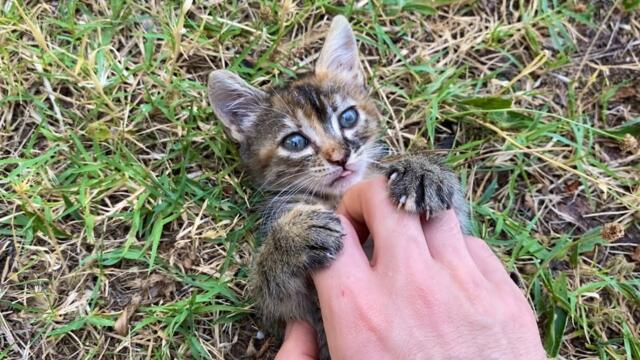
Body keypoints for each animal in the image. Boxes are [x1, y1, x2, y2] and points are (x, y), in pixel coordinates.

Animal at [208, 15, 468, 358]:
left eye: (348, 117)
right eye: (295, 142)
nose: (341, 157)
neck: (337, 196)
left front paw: (424, 170)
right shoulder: (286, 310)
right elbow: (268, 283)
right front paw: (292, 237)